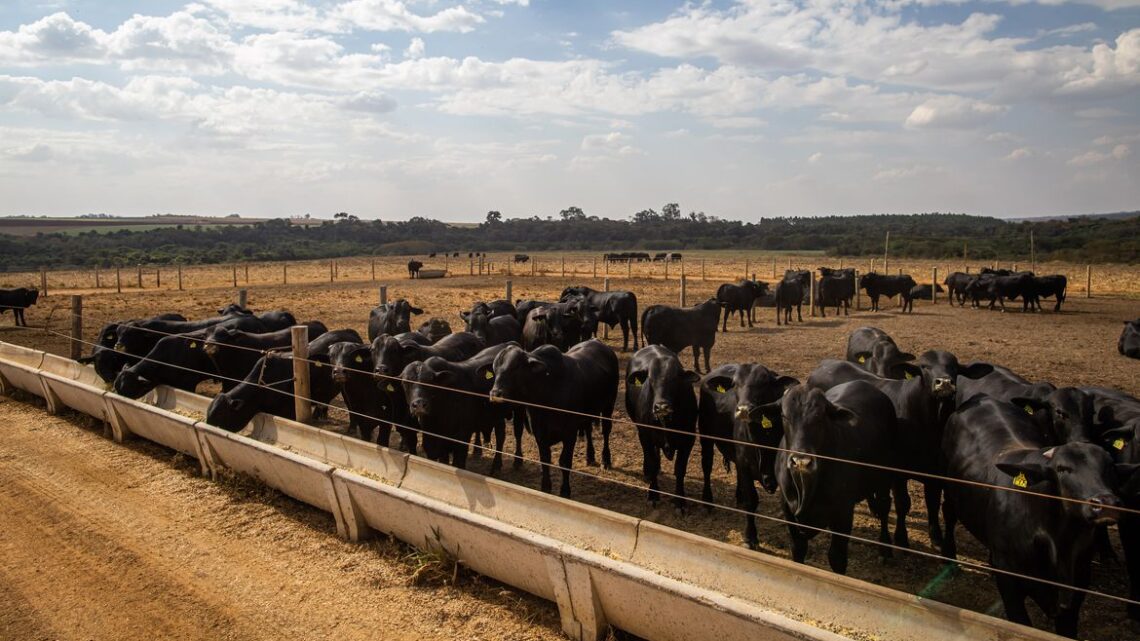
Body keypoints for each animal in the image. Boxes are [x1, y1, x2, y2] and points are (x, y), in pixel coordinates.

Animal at [487, 339, 615, 495]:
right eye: (495, 370)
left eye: (515, 367)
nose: (495, 393)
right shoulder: (540, 433)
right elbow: (545, 459)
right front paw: (545, 487)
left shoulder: (569, 434)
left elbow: (564, 462)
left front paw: (565, 491)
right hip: (587, 414)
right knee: (588, 429)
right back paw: (589, 456)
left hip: (609, 406)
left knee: (606, 431)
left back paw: (605, 460)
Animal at [629, 346, 697, 506]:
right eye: (650, 379)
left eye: (675, 379)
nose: (661, 407)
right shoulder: (646, 436)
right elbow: (652, 463)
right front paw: (653, 494)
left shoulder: (688, 440)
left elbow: (680, 469)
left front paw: (680, 500)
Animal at [693, 362, 802, 540]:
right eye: (735, 384)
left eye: (763, 383)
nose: (743, 409)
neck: (762, 439)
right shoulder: (745, 466)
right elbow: (751, 501)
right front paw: (751, 537)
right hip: (705, 435)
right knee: (707, 465)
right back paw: (707, 500)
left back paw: (739, 496)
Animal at [761, 380, 893, 570]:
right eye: (784, 416)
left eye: (820, 417)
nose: (801, 462)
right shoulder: (788, 510)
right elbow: (798, 549)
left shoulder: (843, 514)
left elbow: (837, 558)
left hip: (886, 476)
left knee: (884, 507)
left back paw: (885, 548)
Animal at [934, 394, 1130, 634]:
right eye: (1062, 468)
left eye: (1110, 467)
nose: (1106, 502)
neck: (1057, 541)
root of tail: (983, 398)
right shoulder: (1010, 581)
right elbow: (1020, 623)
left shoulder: (1079, 584)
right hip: (949, 489)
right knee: (949, 515)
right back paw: (950, 560)